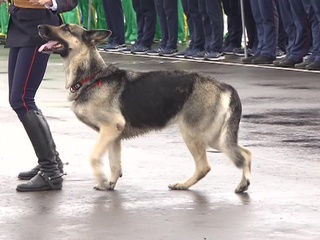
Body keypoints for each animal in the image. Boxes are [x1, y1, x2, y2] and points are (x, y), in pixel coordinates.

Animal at [37, 24, 251, 193]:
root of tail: (222, 85)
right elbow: (114, 164)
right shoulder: (113, 136)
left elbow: (94, 157)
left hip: (193, 134)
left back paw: (183, 184)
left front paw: (102, 178)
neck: (92, 76)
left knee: (205, 166)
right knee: (246, 153)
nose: (39, 26)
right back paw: (242, 183)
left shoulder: (110, 129)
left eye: (66, 28)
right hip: (214, 137)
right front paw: (110, 184)